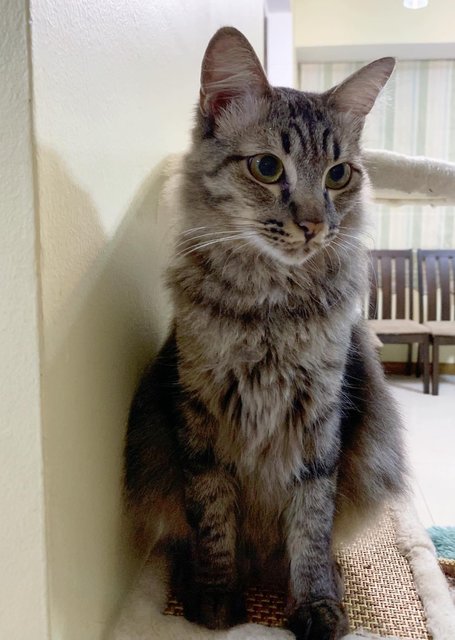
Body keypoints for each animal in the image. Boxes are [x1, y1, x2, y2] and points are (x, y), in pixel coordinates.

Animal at [123, 27, 408, 640]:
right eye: (268, 168)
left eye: (338, 174)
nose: (315, 225)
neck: (271, 309)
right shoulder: (198, 416)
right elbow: (212, 519)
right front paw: (215, 598)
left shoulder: (320, 416)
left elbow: (310, 524)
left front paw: (316, 605)